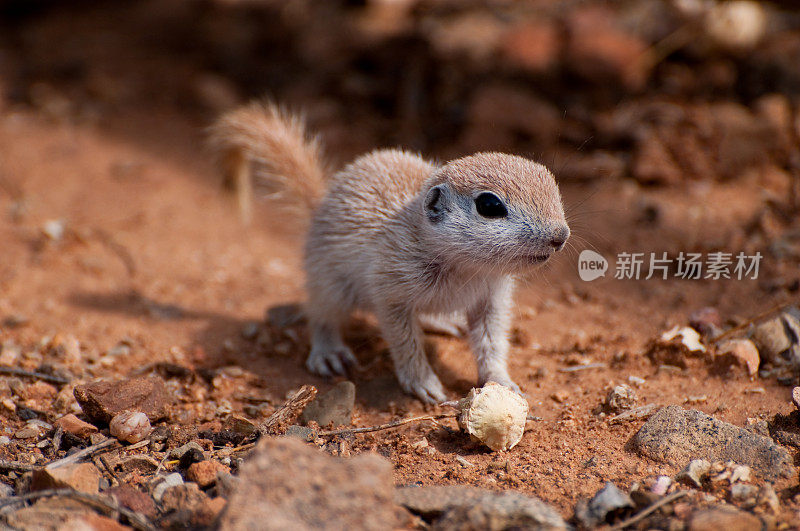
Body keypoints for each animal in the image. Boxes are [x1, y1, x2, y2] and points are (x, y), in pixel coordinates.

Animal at [209, 103, 564, 404]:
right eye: (489, 205)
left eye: (552, 183)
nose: (560, 236)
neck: (466, 267)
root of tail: (320, 205)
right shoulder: (391, 290)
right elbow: (405, 341)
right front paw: (424, 383)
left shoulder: (492, 298)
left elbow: (492, 342)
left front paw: (503, 381)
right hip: (329, 283)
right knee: (320, 315)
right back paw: (328, 352)